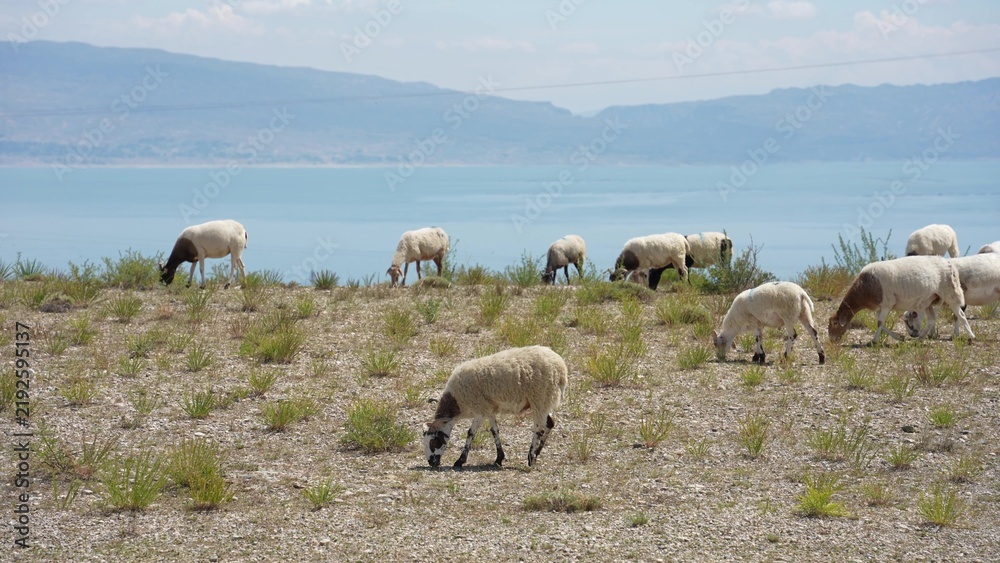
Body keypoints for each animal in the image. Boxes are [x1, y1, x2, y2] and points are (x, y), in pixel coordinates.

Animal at [421, 345, 568, 469]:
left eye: (433, 442)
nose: (431, 463)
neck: (457, 402)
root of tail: (561, 368)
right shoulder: (489, 409)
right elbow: (494, 431)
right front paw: (499, 458)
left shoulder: (479, 409)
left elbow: (470, 433)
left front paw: (460, 461)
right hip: (544, 401)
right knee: (549, 424)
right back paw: (536, 454)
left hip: (539, 397)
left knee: (538, 429)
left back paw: (531, 458)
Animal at [828, 255, 974, 344]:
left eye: (835, 323)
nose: (831, 339)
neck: (865, 288)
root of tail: (950, 264)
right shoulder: (881, 306)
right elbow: (880, 323)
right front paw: (900, 337)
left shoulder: (887, 303)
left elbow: (879, 323)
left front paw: (874, 341)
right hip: (928, 300)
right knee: (932, 319)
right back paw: (920, 337)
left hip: (950, 293)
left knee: (961, 315)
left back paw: (972, 336)